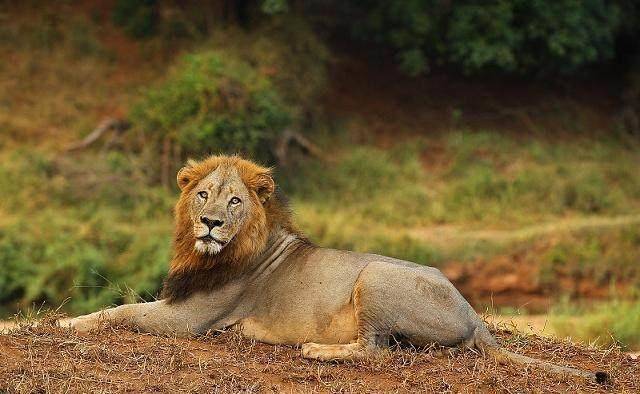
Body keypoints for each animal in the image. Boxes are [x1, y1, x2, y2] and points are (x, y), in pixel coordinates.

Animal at [62, 155, 608, 384]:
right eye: (203, 194)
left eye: (234, 201)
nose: (211, 223)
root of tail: (474, 314)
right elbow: (123, 307)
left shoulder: (191, 320)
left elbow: (120, 311)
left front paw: (67, 321)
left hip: (375, 276)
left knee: (376, 351)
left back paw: (317, 350)